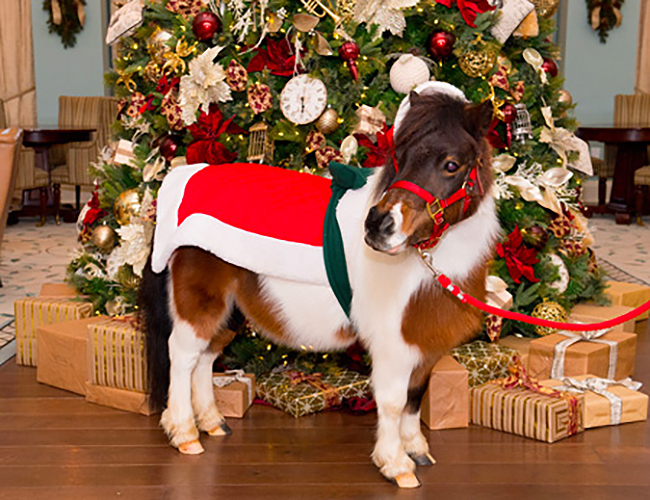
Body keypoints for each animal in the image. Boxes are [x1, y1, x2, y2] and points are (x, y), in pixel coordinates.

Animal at [139, 81, 499, 488]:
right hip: (200, 302)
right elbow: (392, 400)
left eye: (451, 164)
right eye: (400, 157)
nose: (378, 226)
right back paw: (184, 433)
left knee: (205, 357)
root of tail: (182, 179)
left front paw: (417, 450)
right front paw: (396, 464)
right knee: (183, 356)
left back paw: (212, 423)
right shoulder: (392, 342)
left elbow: (414, 397)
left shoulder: (423, 342)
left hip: (230, 312)